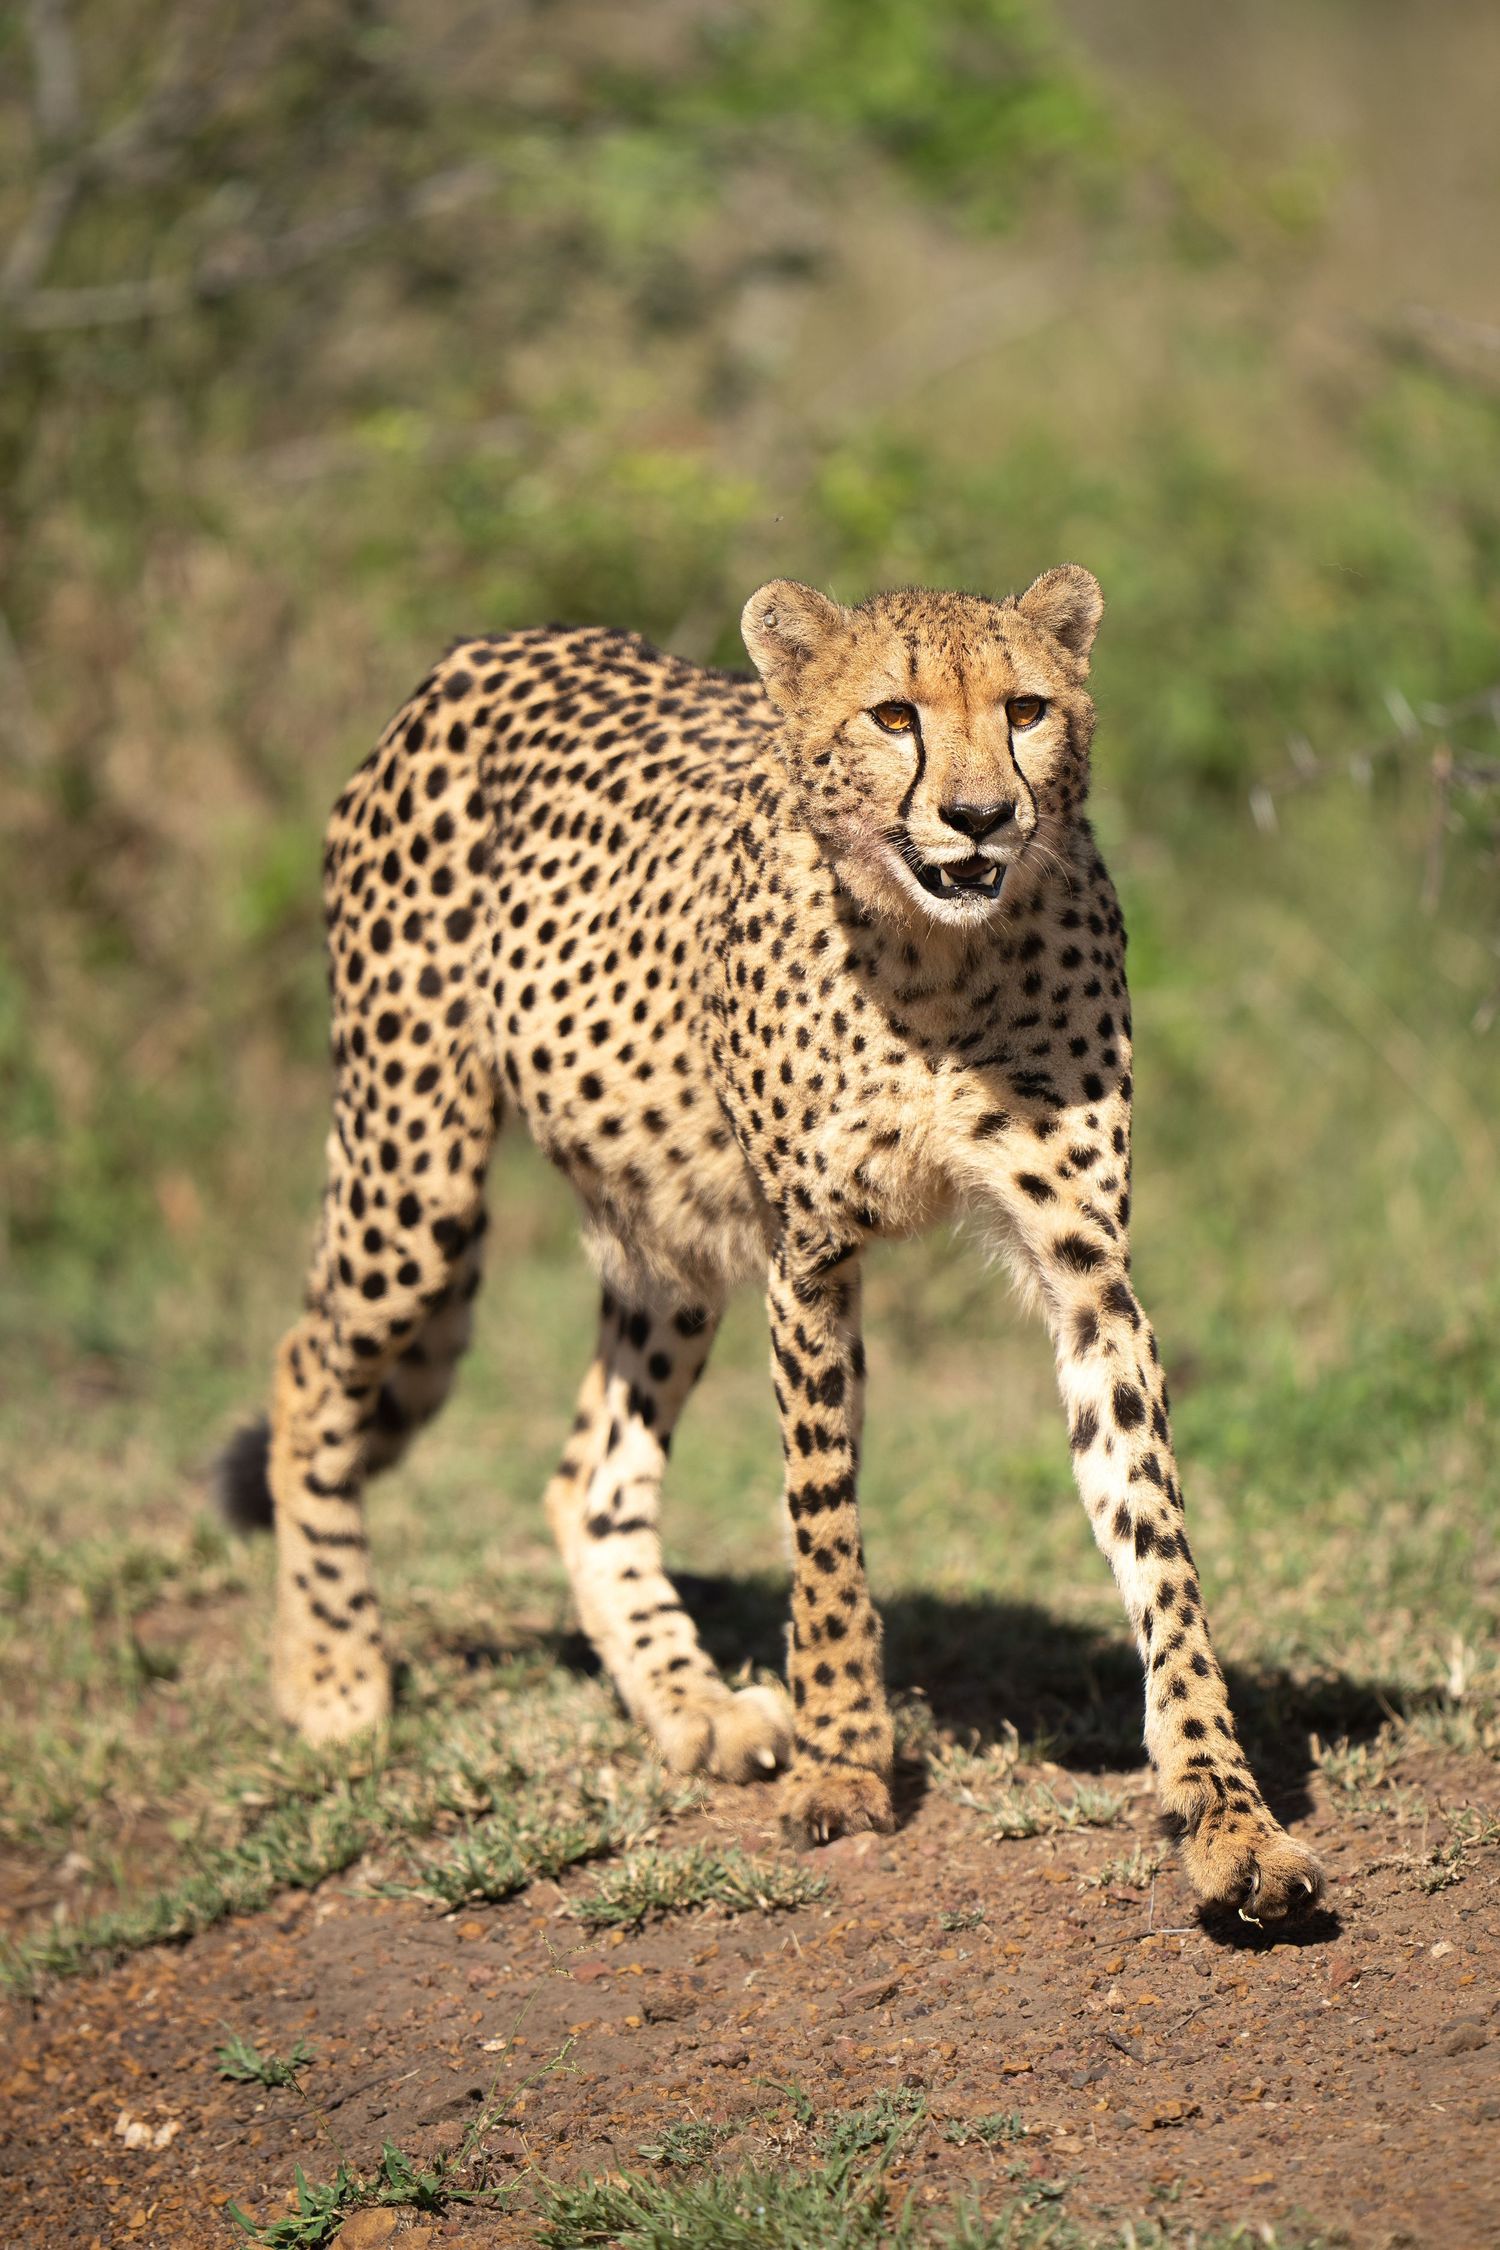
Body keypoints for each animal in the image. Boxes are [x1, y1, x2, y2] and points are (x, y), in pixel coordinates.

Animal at [218, 564, 1325, 1922]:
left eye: (1026, 708)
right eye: (895, 716)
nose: (978, 817)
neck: (940, 958)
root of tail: (491, 644)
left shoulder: (1087, 1276)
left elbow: (1156, 1543)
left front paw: (1229, 1818)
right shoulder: (810, 1259)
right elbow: (824, 1520)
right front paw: (843, 1764)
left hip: (672, 1228)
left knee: (588, 1477)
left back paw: (690, 1705)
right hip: (412, 1162)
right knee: (308, 1367)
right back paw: (331, 1672)